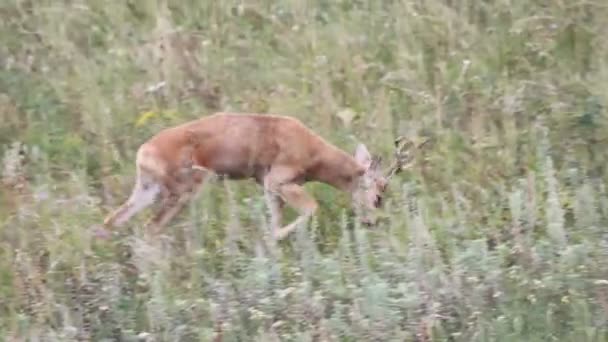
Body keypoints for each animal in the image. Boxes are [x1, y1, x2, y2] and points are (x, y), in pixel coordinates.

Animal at [102, 112, 420, 240]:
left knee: (112, 223)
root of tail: (144, 150)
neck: (309, 146)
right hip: (184, 191)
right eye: (378, 195)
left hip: (148, 191)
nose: (372, 222)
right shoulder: (277, 182)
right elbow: (310, 210)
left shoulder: (268, 188)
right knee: (151, 227)